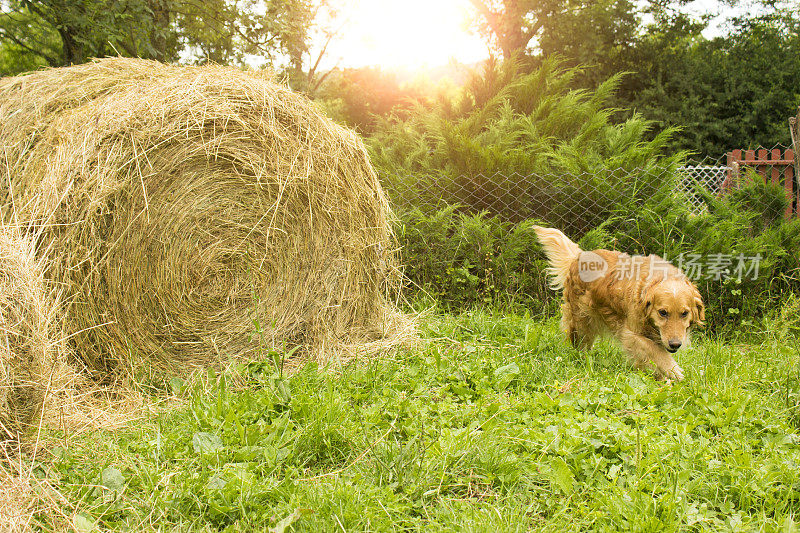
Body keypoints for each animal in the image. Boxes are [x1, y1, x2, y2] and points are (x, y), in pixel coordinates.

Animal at [536, 227, 704, 380]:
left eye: (684, 313)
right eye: (663, 312)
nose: (675, 344)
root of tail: (579, 256)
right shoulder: (630, 333)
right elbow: (653, 349)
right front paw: (672, 368)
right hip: (582, 321)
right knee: (580, 344)